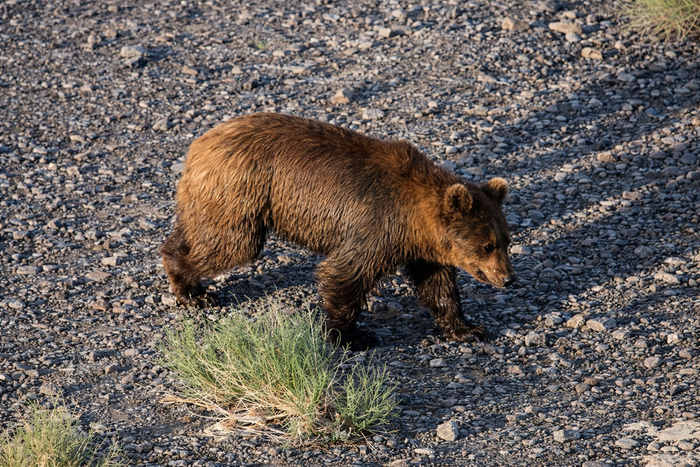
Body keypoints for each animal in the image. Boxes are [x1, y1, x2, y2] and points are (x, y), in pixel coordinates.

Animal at [161, 112, 516, 348]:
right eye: (487, 245)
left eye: (506, 240)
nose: (508, 278)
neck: (415, 220)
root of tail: (199, 145)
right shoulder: (376, 226)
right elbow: (345, 274)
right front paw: (351, 335)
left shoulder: (424, 250)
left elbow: (438, 286)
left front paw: (468, 329)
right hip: (243, 192)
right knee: (228, 243)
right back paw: (191, 289)